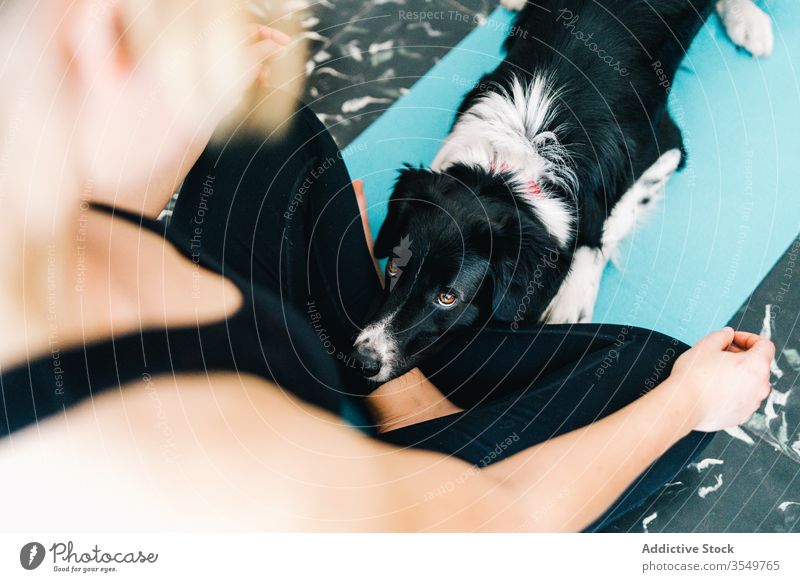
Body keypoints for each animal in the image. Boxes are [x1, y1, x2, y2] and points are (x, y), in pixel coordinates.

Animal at [352, 0, 776, 384]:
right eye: (394, 265)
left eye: (448, 297)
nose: (362, 361)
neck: (510, 169)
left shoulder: (665, 146)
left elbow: (606, 225)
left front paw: (572, 298)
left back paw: (748, 21)